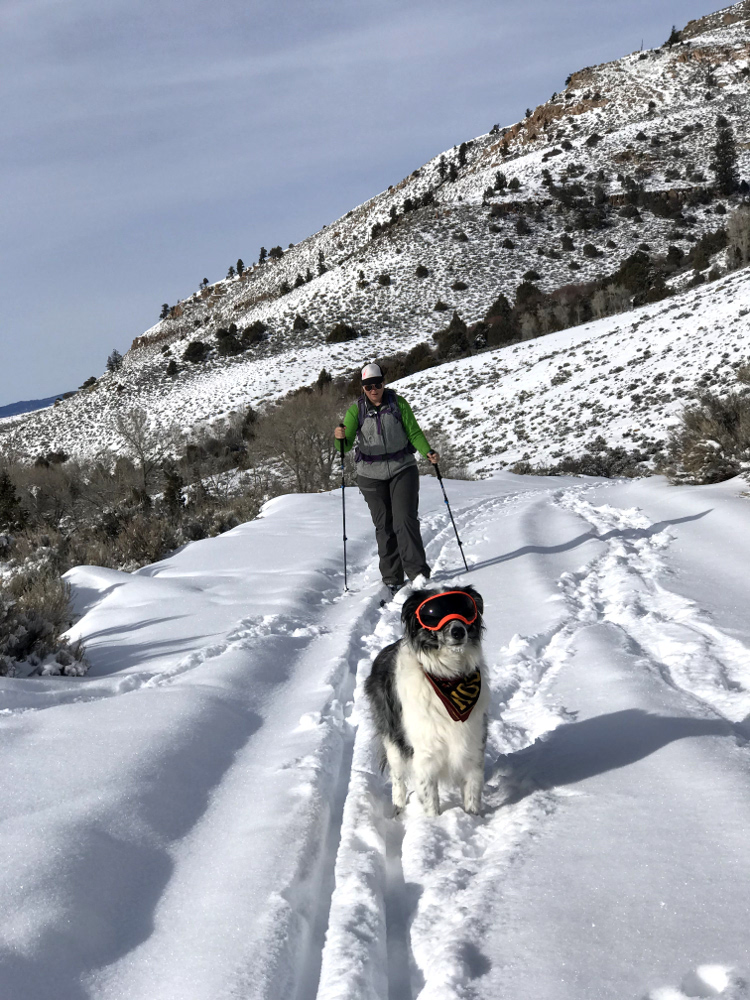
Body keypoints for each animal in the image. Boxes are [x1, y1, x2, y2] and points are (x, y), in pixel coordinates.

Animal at [366, 584, 490, 812]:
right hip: (392, 740)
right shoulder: (425, 755)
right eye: (432, 614)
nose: (458, 631)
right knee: (397, 777)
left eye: (465, 607)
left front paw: (472, 818)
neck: (448, 675)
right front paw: (434, 820)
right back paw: (398, 809)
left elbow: (472, 795)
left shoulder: (473, 746)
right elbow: (430, 801)